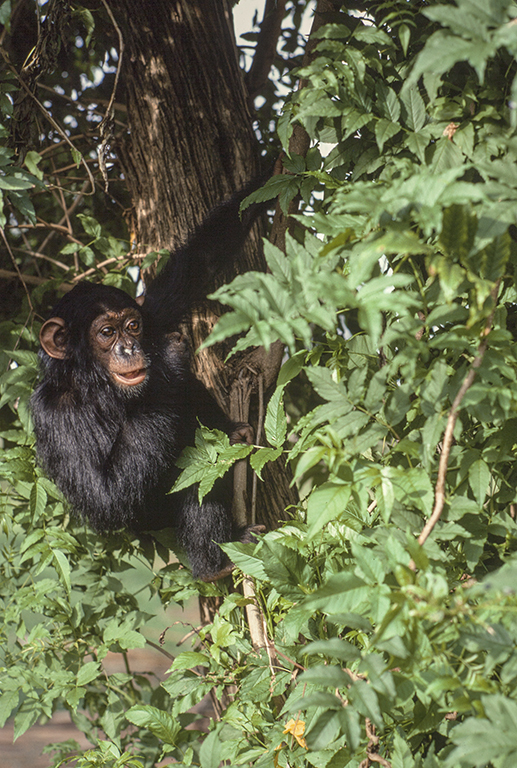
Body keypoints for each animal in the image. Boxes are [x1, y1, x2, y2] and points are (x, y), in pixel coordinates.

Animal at [31, 183, 266, 580]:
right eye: (106, 332)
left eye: (132, 325)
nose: (129, 347)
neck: (96, 383)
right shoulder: (55, 415)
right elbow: (106, 496)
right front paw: (169, 357)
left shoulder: (153, 316)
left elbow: (192, 267)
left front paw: (274, 175)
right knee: (195, 470)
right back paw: (216, 563)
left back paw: (233, 431)